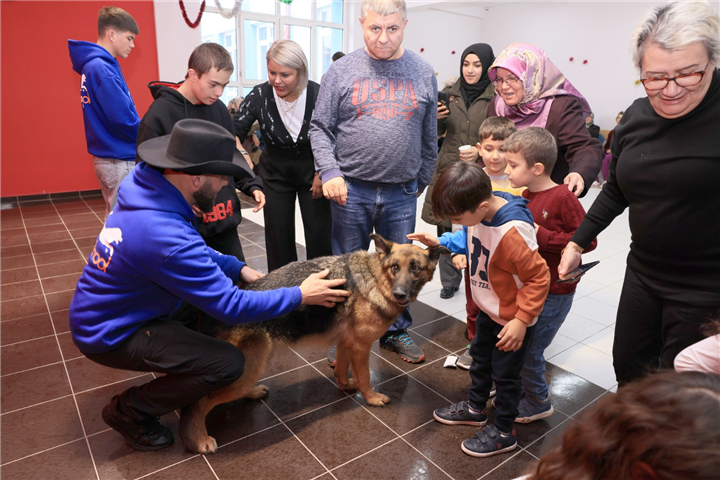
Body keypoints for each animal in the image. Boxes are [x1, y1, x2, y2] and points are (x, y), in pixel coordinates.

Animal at [179, 235, 450, 454]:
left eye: (415, 268)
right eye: (395, 267)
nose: (400, 294)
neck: (377, 278)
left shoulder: (346, 344)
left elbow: (341, 369)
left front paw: (345, 386)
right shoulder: (360, 347)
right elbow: (364, 377)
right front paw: (371, 398)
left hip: (254, 364)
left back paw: (252, 393)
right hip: (248, 366)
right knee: (198, 404)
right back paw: (198, 439)